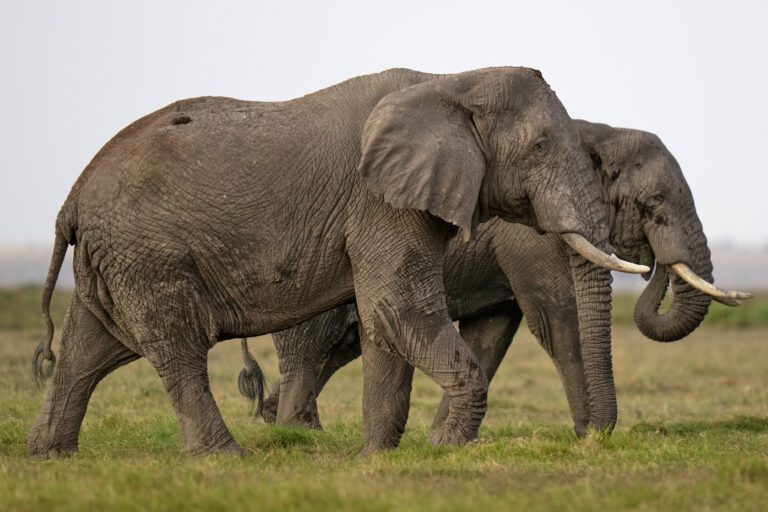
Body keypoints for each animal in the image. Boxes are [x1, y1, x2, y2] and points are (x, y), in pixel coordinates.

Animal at [28, 67, 649, 458]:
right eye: (541, 147)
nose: (596, 440)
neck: (452, 81)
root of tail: (72, 198)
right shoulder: (380, 199)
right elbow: (400, 306)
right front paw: (441, 449)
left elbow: (386, 321)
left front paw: (379, 456)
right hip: (148, 254)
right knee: (175, 346)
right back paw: (224, 458)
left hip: (120, 256)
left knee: (90, 349)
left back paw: (49, 456)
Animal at [244, 119, 751, 435]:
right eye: (655, 202)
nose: (654, 262)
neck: (600, 133)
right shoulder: (531, 239)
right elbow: (558, 320)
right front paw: (590, 435)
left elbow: (492, 334)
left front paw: (442, 439)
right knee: (311, 349)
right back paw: (302, 434)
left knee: (333, 352)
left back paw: (284, 425)